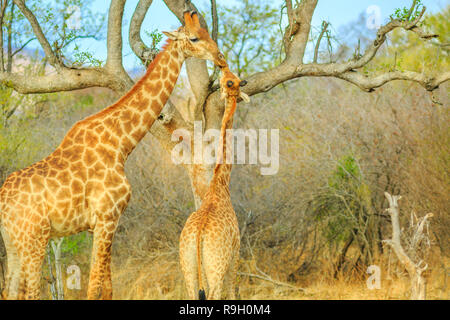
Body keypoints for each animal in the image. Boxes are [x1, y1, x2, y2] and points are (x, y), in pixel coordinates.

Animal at [0, 9, 225, 300]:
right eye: (195, 38)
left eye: (207, 32)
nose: (220, 57)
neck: (121, 143)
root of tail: (3, 203)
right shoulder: (107, 217)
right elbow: (95, 285)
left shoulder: (102, 223)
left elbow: (107, 286)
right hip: (35, 239)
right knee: (29, 292)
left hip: (14, 243)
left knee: (9, 289)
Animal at [179, 65, 250, 300]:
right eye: (231, 81)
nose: (223, 69)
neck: (220, 183)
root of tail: (198, 236)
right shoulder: (236, 251)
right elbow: (233, 290)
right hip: (216, 267)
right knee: (215, 294)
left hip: (188, 266)